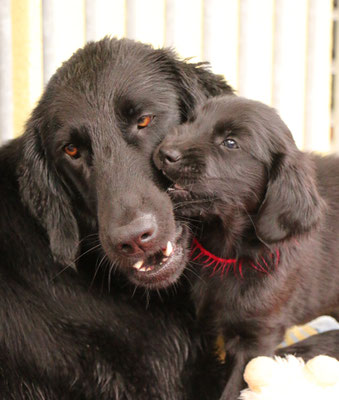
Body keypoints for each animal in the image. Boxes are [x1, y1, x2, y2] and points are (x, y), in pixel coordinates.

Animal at [153, 96, 339, 400]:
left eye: (230, 143)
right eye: (191, 121)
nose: (164, 152)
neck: (230, 254)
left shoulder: (257, 337)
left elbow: (233, 388)